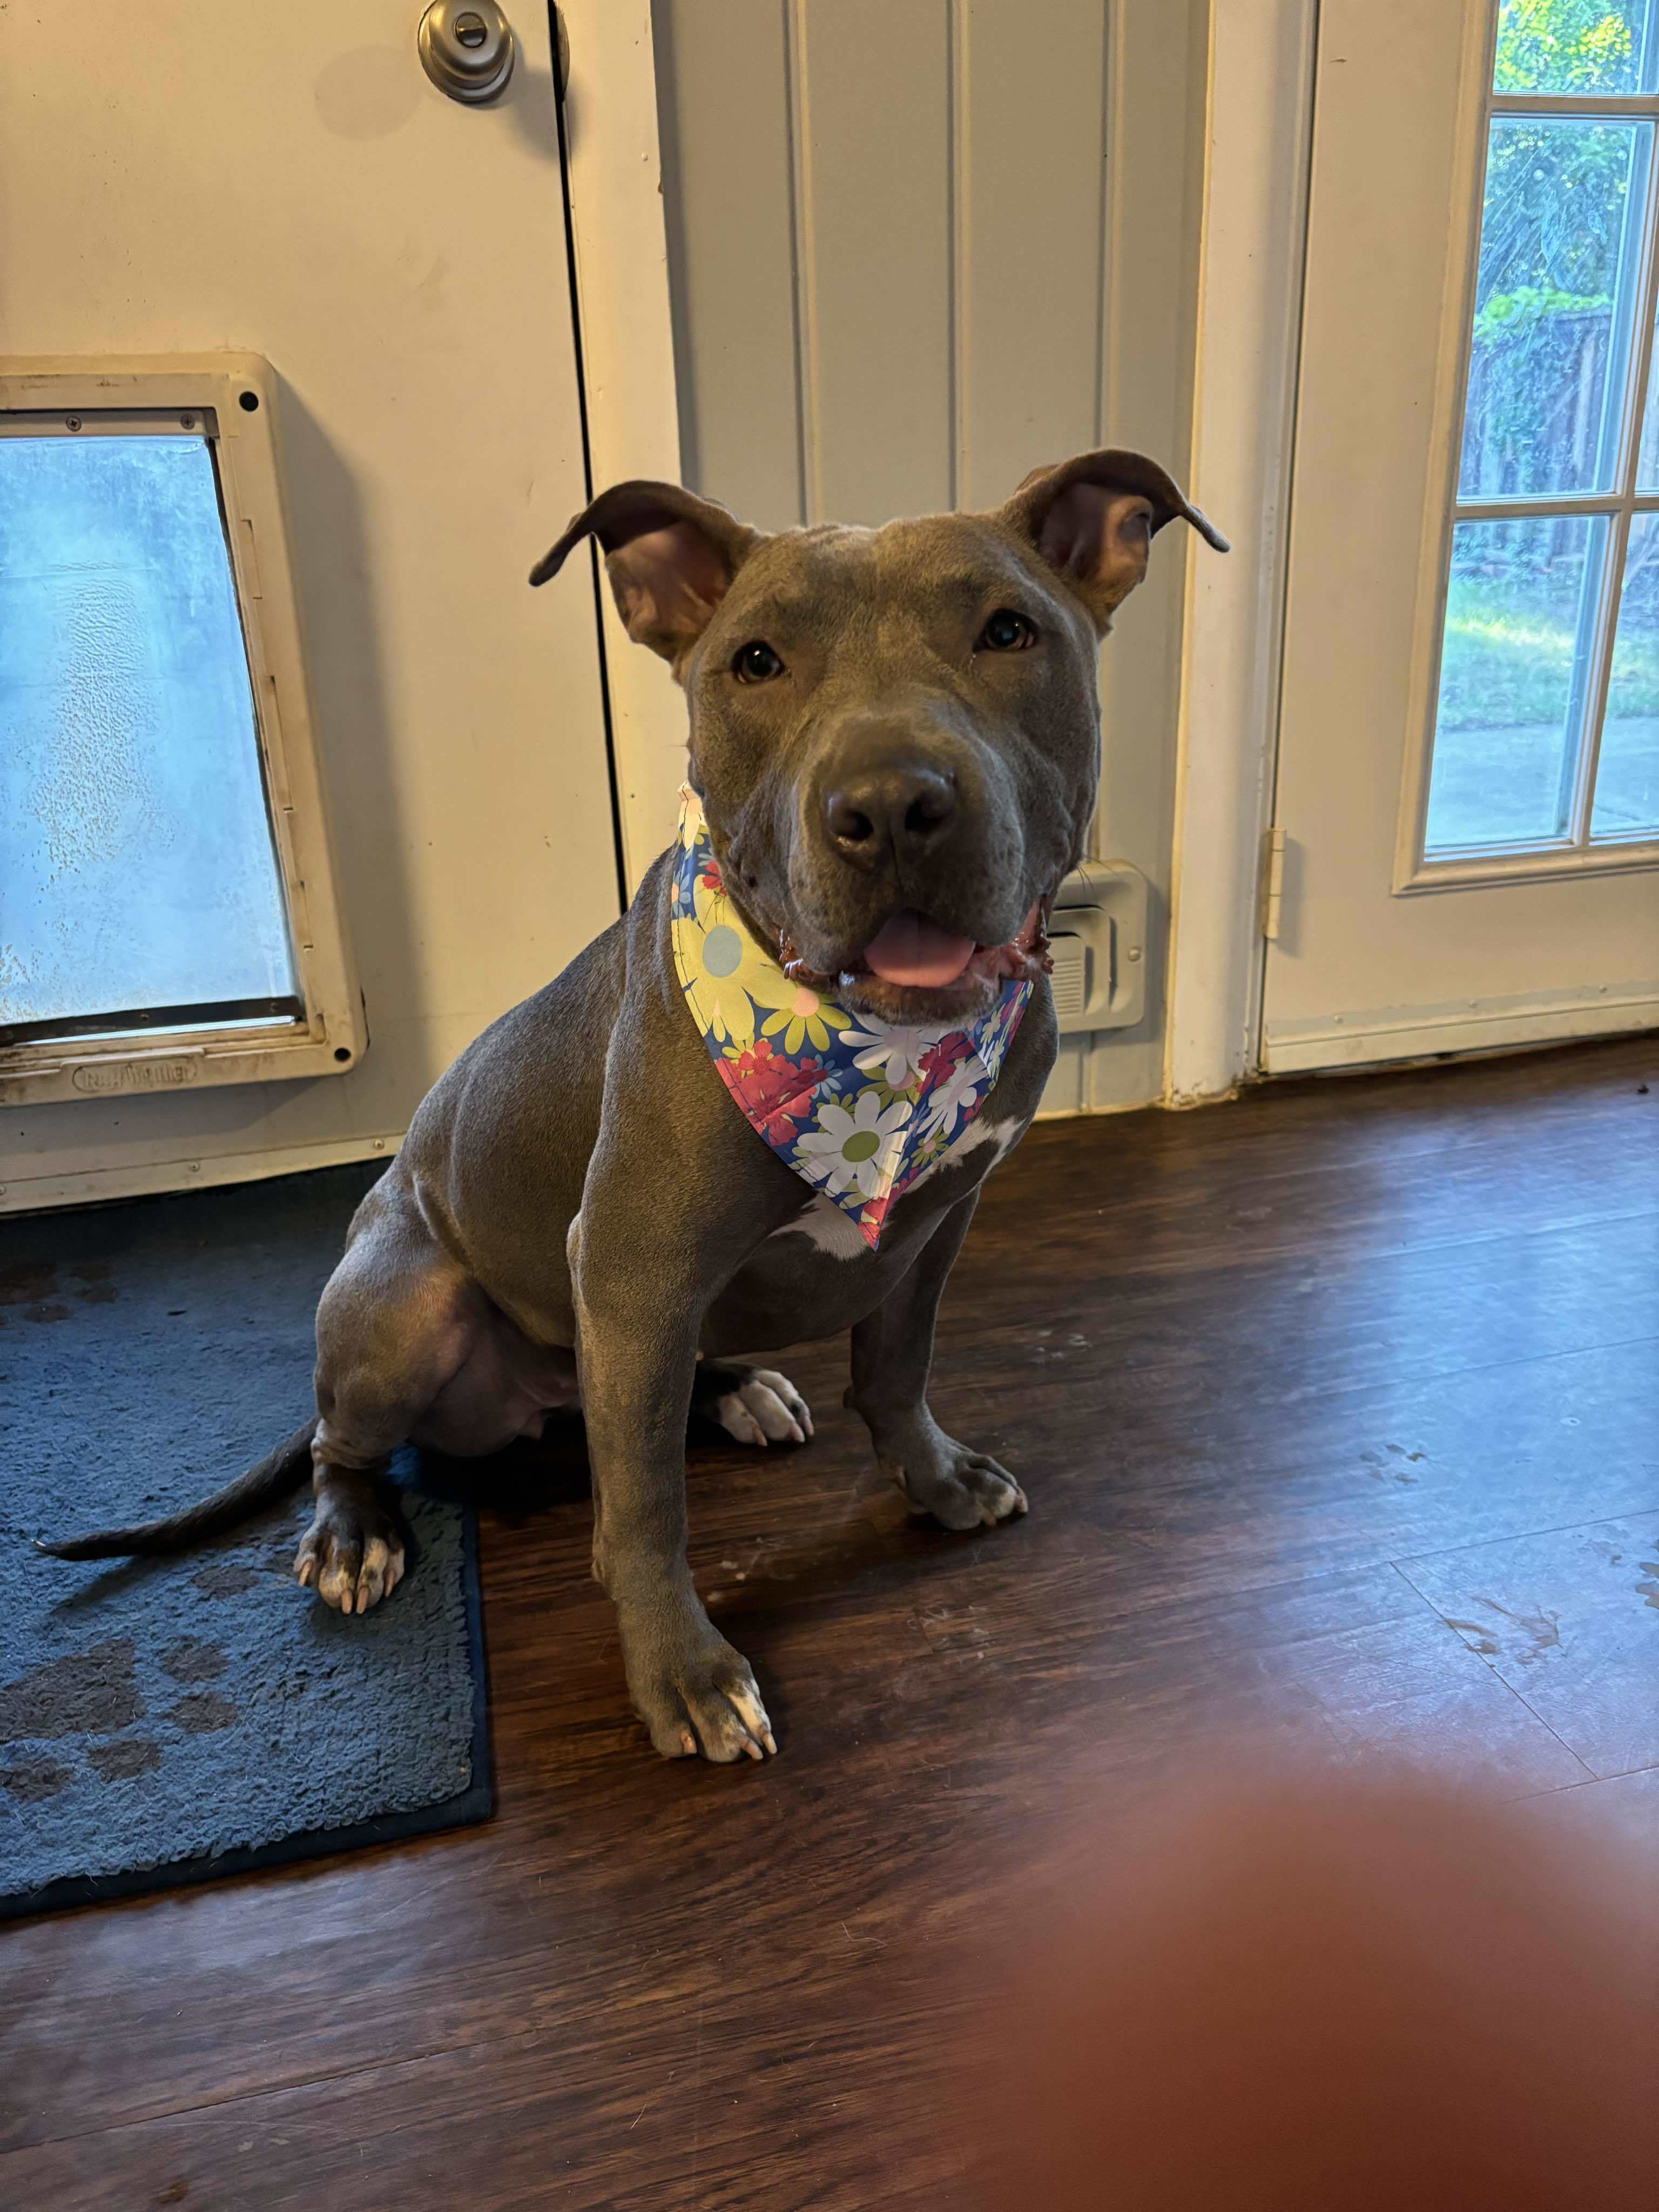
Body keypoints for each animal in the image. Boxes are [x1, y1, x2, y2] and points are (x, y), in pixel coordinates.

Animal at [42, 449, 1220, 1761]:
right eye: (754, 661)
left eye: (1009, 631)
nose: (890, 805)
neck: (879, 1067)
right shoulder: (635, 1260)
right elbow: (646, 1509)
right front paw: (683, 1672)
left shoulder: (934, 1224)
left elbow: (895, 1366)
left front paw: (933, 1478)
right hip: (411, 1304)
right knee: (342, 1445)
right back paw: (353, 1535)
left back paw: (736, 1388)